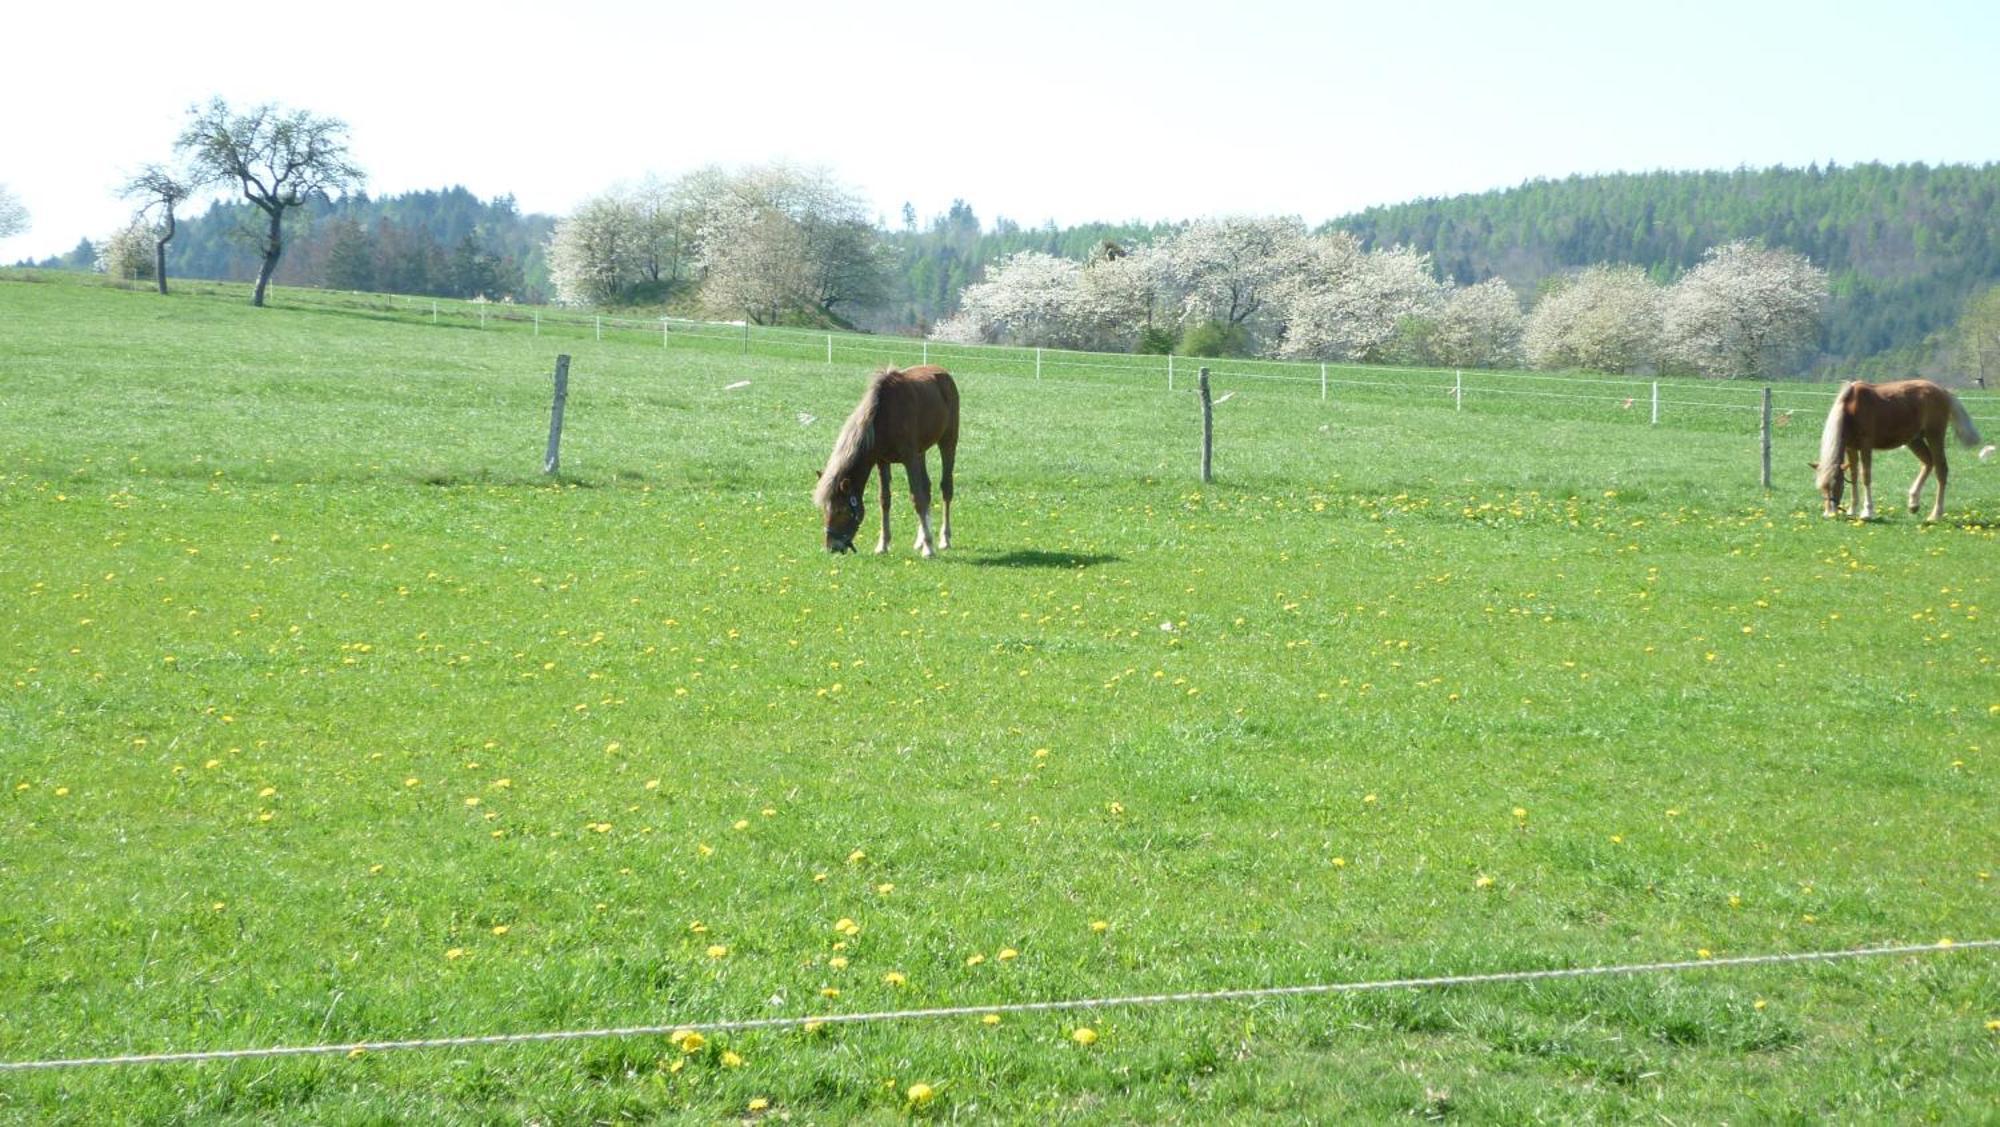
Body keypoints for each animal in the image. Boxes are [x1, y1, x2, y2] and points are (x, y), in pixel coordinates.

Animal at [820, 365, 960, 555]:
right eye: (825, 509)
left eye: (841, 510)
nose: (832, 546)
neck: (885, 417)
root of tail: (944, 373)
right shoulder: (882, 461)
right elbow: (885, 499)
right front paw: (883, 544)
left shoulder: (909, 459)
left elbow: (917, 499)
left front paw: (929, 548)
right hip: (921, 452)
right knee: (927, 488)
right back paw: (920, 539)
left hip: (948, 442)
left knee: (946, 488)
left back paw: (944, 539)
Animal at [1808, 377, 1992, 519]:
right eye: (1822, 487)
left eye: (1836, 485)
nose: (1829, 514)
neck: (1851, 410)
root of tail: (1943, 391)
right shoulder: (1851, 448)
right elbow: (1853, 475)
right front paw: (1852, 509)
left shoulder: (1866, 446)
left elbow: (1865, 476)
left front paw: (1867, 511)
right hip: (1914, 440)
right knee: (1928, 462)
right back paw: (1913, 503)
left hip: (1934, 436)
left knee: (1941, 469)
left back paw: (1935, 514)